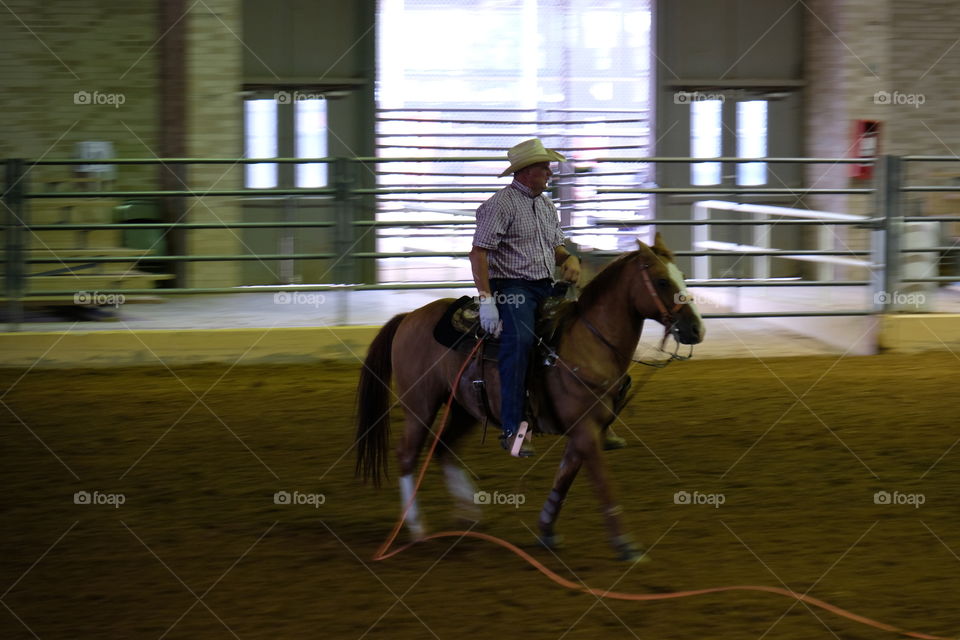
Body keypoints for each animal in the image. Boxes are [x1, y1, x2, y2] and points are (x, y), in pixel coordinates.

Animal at [356, 235, 700, 560]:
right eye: (661, 281)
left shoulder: (584, 431)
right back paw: (416, 527)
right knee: (407, 454)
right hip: (420, 404)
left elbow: (563, 479)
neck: (588, 341)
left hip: (465, 408)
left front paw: (547, 530)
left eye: (682, 275)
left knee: (443, 448)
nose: (695, 329)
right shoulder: (585, 430)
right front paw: (626, 545)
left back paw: (469, 514)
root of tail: (409, 316)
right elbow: (603, 482)